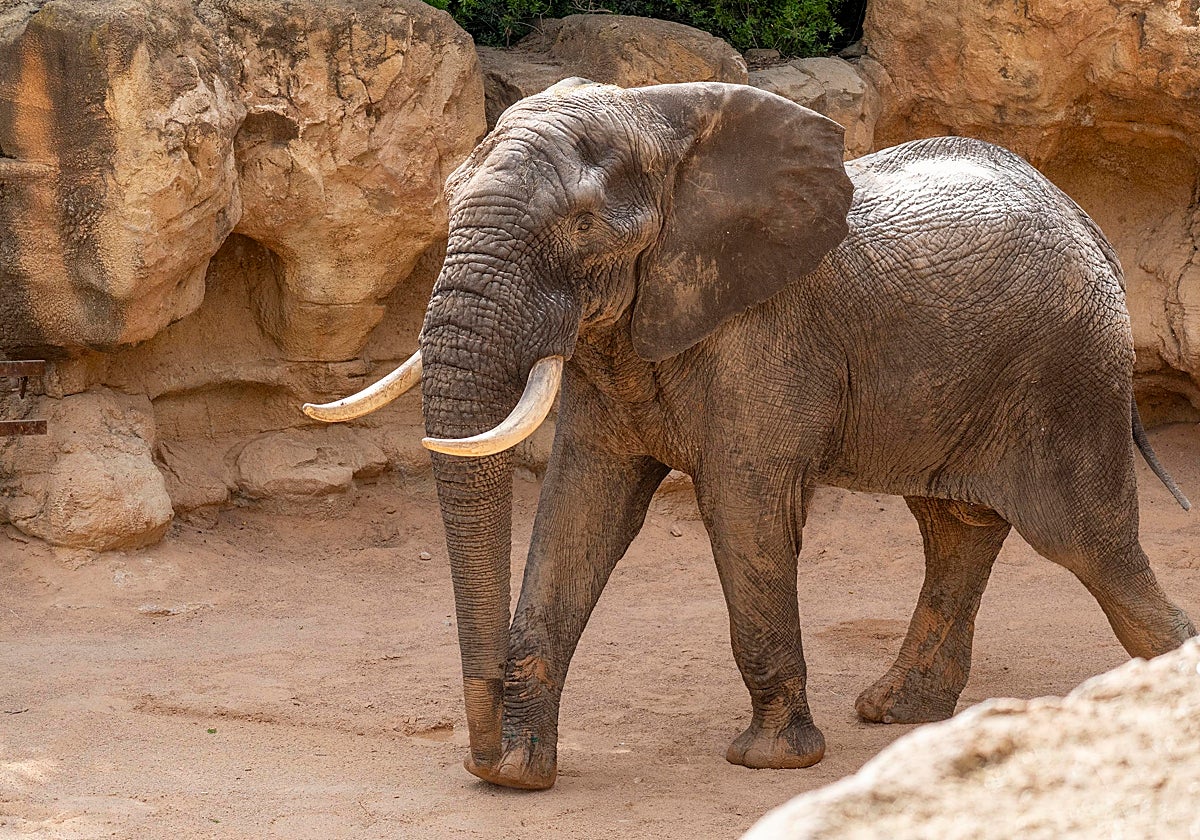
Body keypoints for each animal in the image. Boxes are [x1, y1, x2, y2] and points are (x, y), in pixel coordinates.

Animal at [303, 79, 1196, 791]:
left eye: (584, 226)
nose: (480, 757)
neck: (657, 123)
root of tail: (1088, 222)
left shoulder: (764, 335)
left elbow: (743, 506)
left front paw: (772, 761)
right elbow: (582, 505)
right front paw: (522, 774)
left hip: (1070, 371)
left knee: (1091, 541)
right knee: (956, 526)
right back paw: (898, 710)